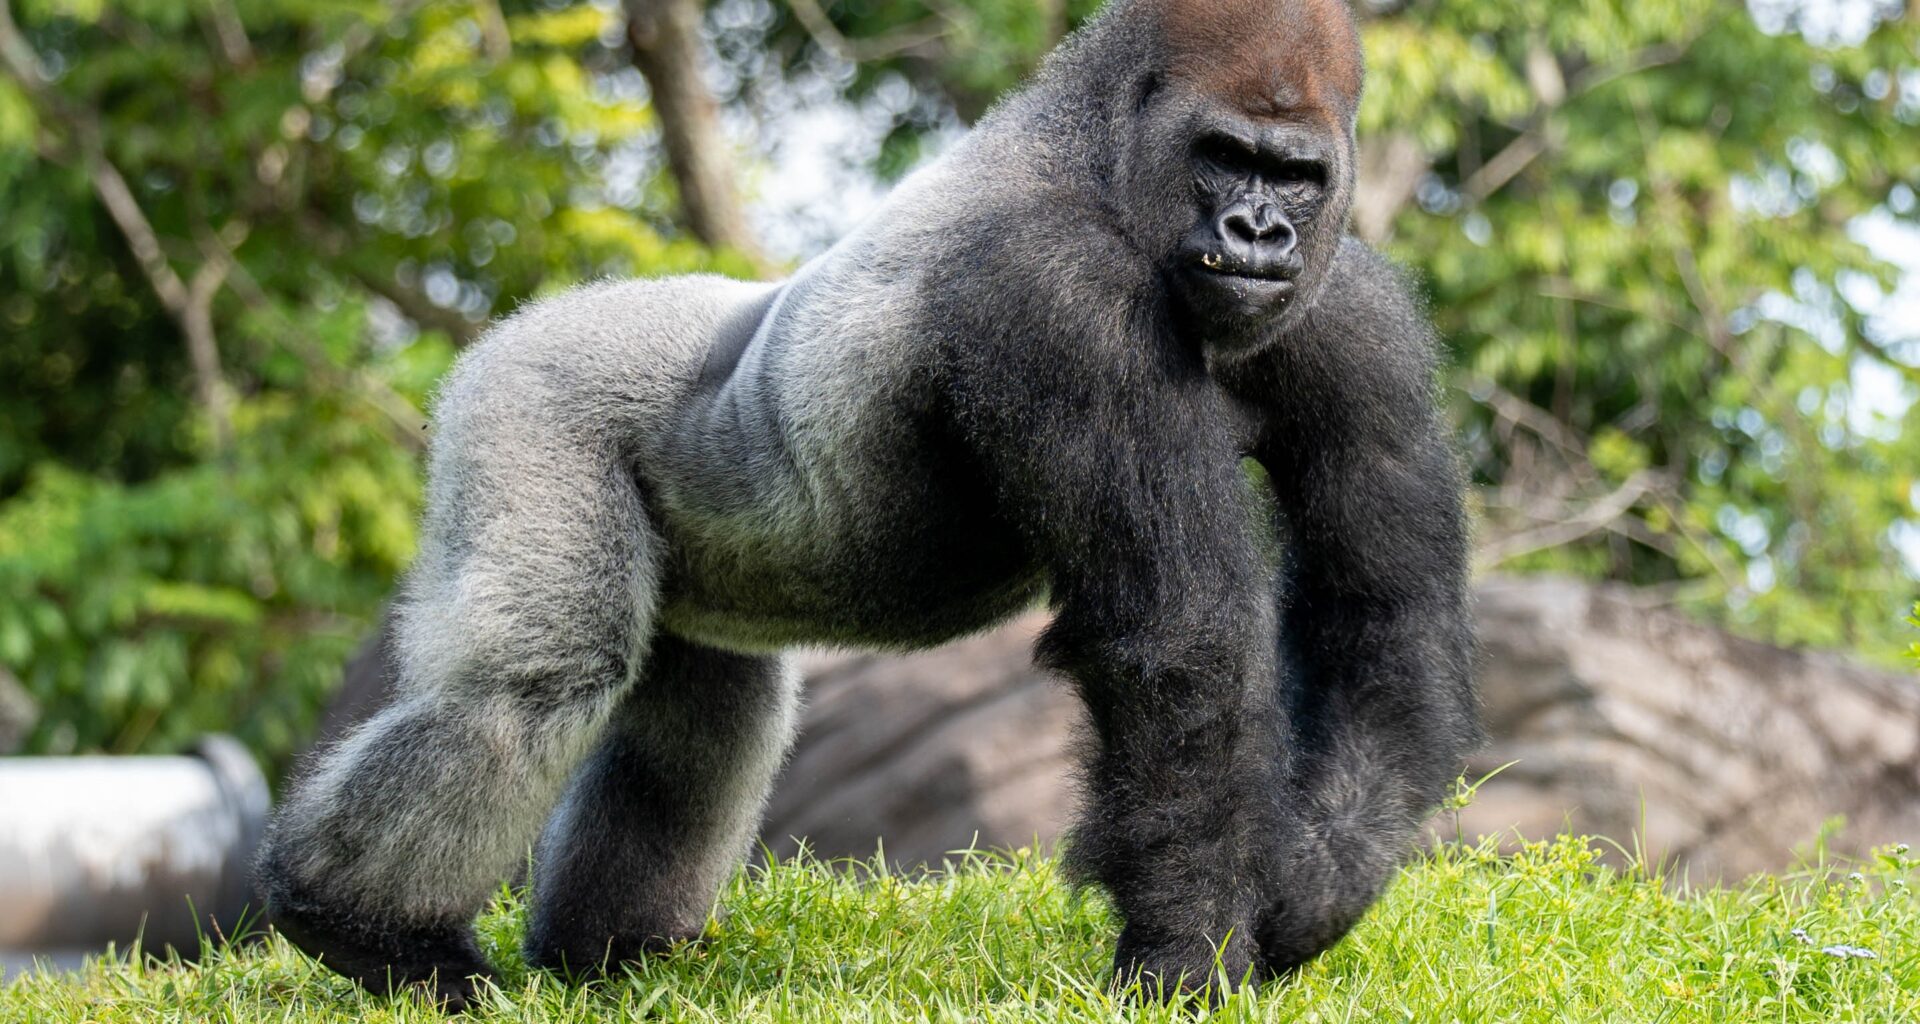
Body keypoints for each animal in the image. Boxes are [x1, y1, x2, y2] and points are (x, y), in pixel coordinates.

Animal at [254, 0, 1477, 1008]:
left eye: (1297, 175)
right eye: (1225, 159)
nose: (1260, 233)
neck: (1094, 152)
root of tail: (525, 323)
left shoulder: (1354, 312)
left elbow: (1380, 612)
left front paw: (1307, 891)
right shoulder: (1058, 294)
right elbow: (1185, 648)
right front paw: (1185, 955)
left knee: (706, 710)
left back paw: (612, 955)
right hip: (528, 392)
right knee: (533, 682)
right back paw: (357, 924)